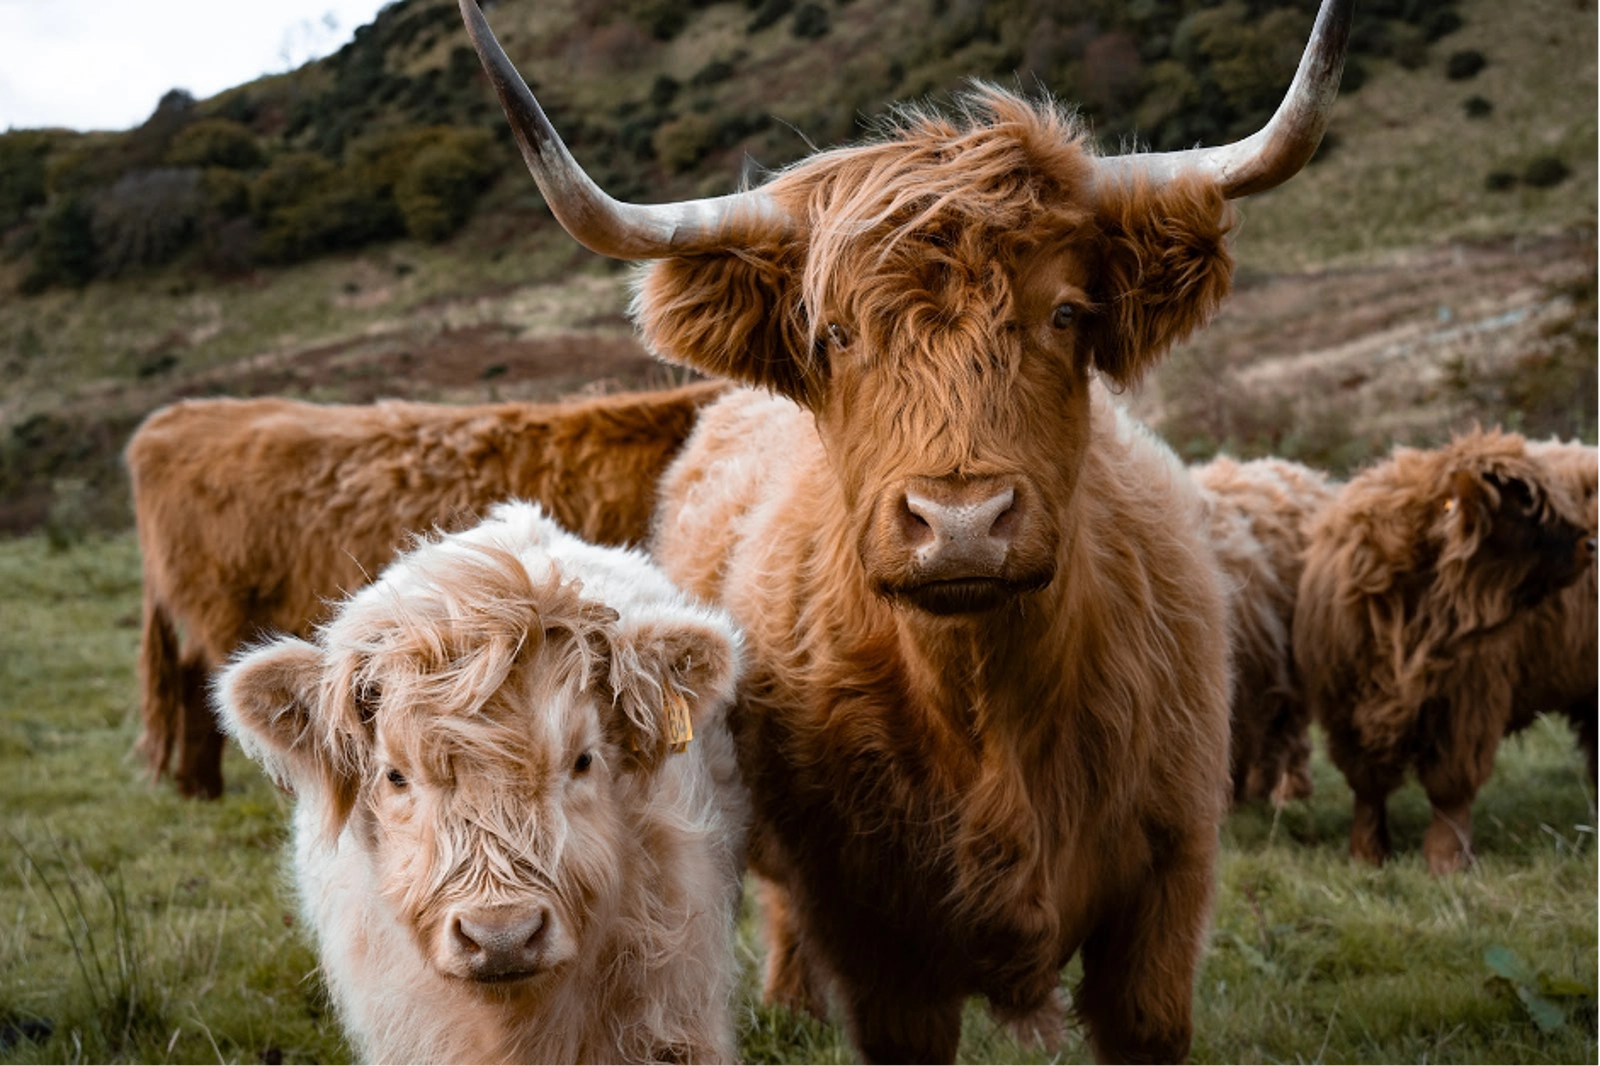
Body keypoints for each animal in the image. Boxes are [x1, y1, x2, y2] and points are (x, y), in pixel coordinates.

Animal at [1294, 430, 1595, 874]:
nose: (1591, 542)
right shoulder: (1348, 708)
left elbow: (1449, 789)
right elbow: (1368, 787)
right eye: (1522, 511)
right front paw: (1366, 855)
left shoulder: (1464, 705)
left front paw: (1446, 861)